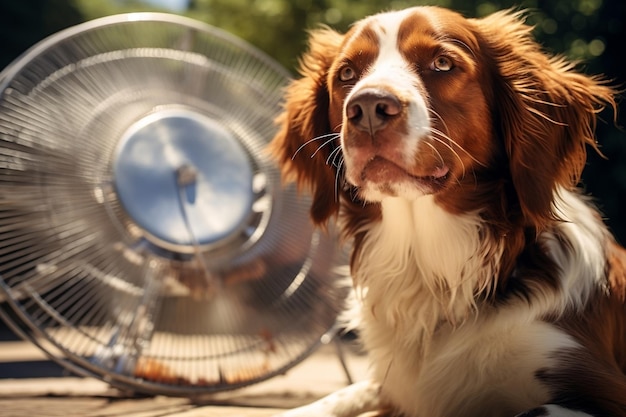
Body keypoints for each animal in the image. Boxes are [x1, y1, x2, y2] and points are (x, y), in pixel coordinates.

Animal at [268, 5, 624, 416]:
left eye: (442, 63)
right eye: (346, 73)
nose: (368, 107)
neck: (430, 268)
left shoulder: (598, 385)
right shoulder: (395, 388)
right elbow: (342, 395)